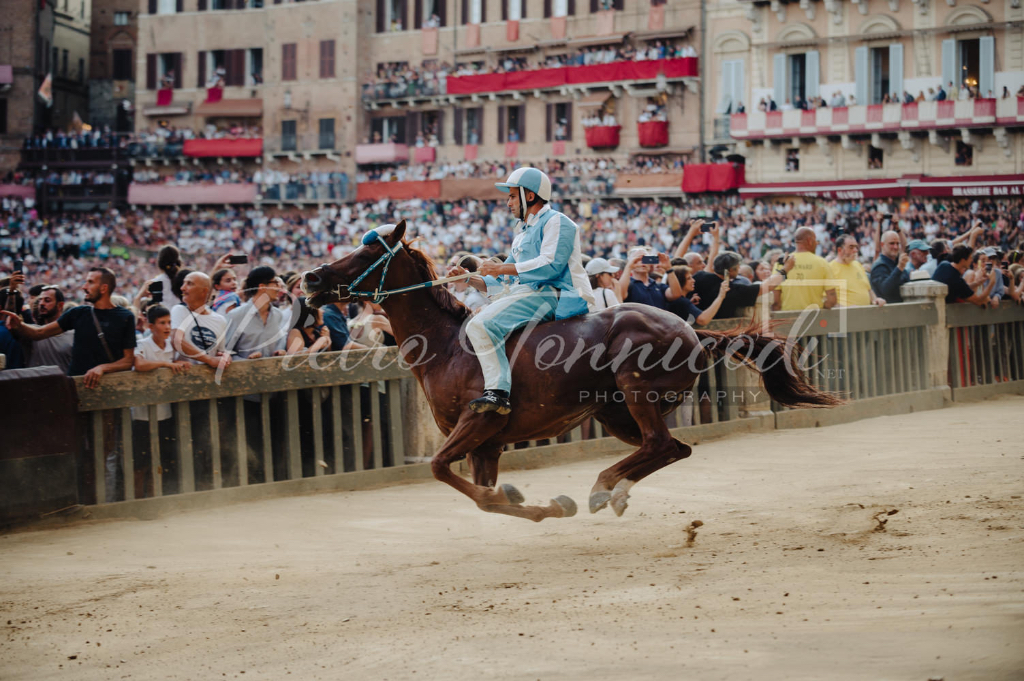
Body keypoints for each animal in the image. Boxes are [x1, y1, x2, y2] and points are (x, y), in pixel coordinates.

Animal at [301, 220, 839, 522]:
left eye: (368, 251)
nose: (309, 277)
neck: (450, 346)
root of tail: (691, 329)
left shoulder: (479, 422)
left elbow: (440, 469)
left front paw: (547, 505)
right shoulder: (486, 445)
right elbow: (485, 496)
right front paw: (525, 500)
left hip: (636, 395)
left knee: (661, 444)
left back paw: (604, 487)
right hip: (613, 413)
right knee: (671, 448)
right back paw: (615, 491)